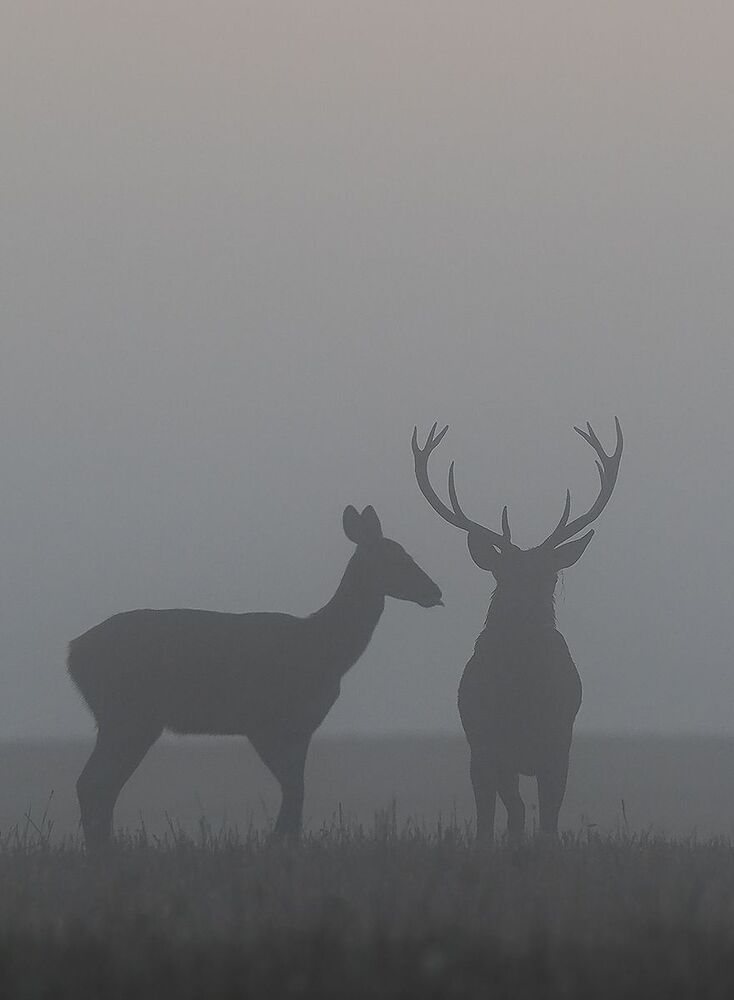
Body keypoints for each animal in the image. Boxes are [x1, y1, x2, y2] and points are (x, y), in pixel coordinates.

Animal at [68, 504, 442, 848]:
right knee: (93, 782)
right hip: (126, 715)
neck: (324, 650)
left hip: (127, 720)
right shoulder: (266, 722)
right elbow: (294, 788)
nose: (435, 592)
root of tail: (73, 653)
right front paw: (279, 842)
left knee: (100, 784)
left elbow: (296, 788)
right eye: (396, 558)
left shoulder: (301, 728)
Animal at [412, 419, 622, 843]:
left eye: (550, 577)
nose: (530, 615)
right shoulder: (487, 746)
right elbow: (500, 817)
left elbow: (549, 818)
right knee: (501, 812)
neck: (521, 696)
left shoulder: (558, 744)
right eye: (504, 576)